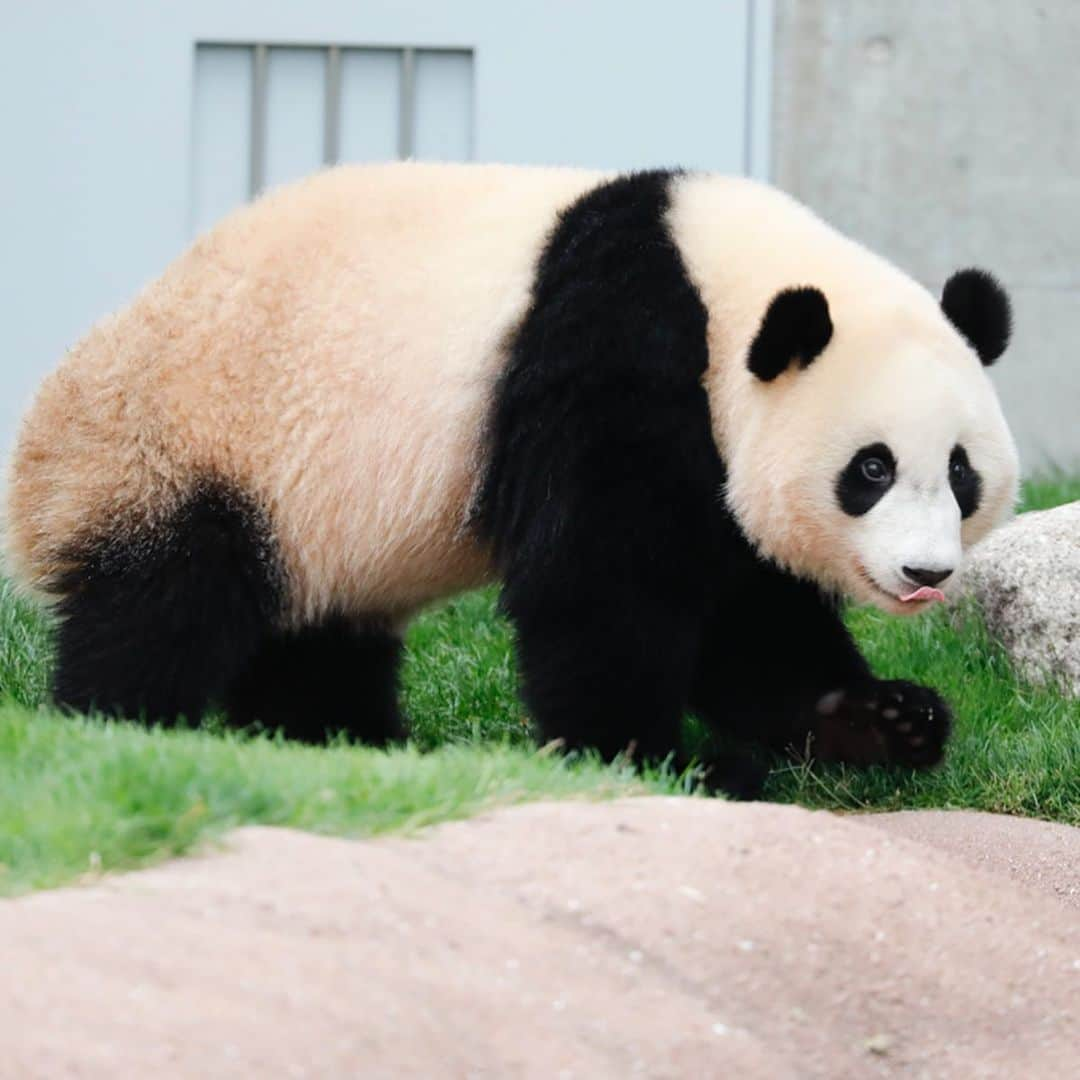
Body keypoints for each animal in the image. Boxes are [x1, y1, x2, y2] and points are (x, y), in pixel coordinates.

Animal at [4, 162, 1019, 777]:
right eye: (871, 468)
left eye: (961, 474)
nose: (925, 573)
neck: (720, 275)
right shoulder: (619, 344)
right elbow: (605, 577)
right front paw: (648, 759)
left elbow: (750, 612)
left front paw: (885, 718)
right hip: (186, 448)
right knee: (162, 609)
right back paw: (120, 728)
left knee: (314, 635)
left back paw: (346, 741)